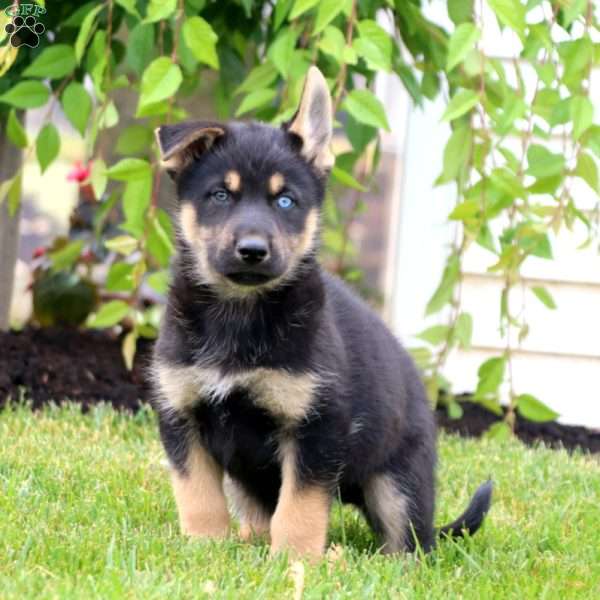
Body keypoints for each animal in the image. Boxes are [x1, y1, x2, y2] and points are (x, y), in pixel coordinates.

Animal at [151, 67, 492, 556]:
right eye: (219, 196)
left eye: (286, 201)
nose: (252, 251)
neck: (240, 313)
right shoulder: (181, 414)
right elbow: (198, 495)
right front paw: (205, 547)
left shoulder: (317, 427)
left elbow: (300, 506)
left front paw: (295, 560)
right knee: (257, 515)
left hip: (397, 483)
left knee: (410, 540)